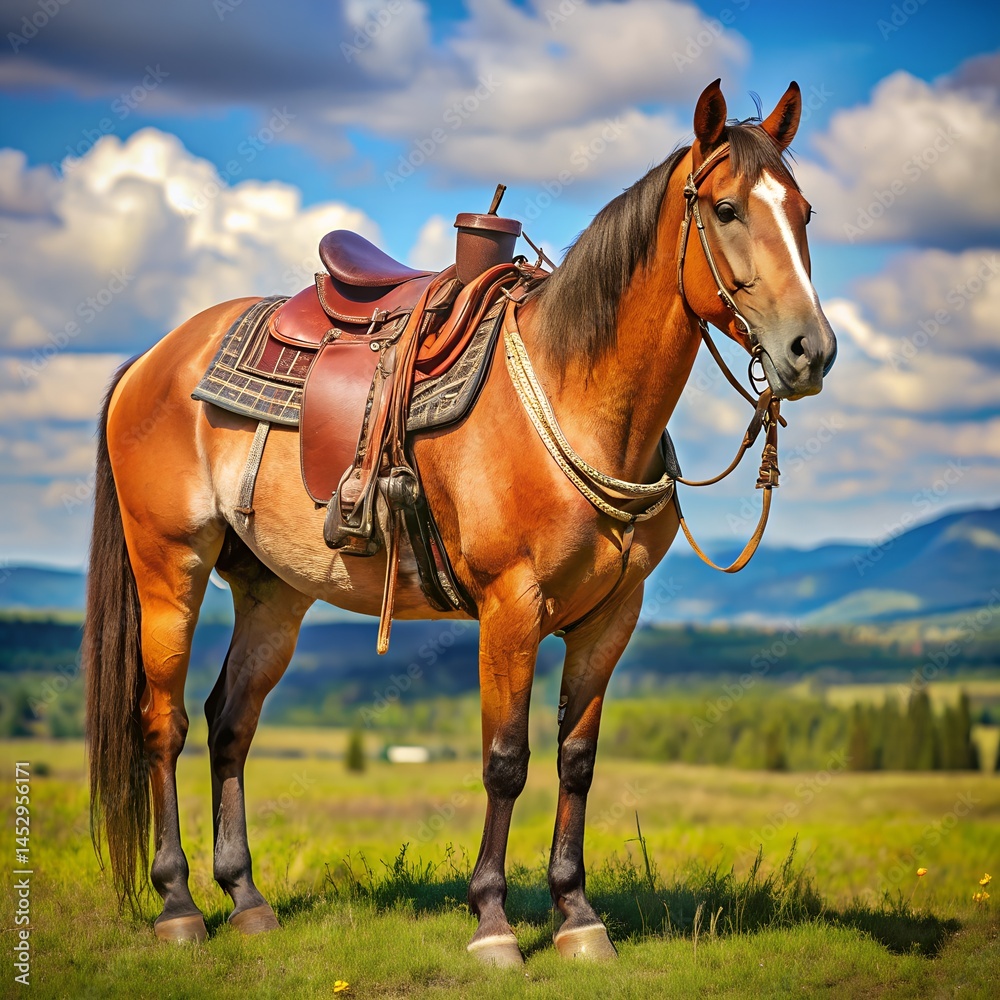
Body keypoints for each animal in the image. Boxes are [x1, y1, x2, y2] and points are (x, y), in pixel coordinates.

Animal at [83, 79, 836, 964]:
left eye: (805, 212)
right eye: (725, 208)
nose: (811, 351)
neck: (575, 395)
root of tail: (153, 358)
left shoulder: (610, 616)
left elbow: (576, 761)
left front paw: (577, 916)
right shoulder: (510, 607)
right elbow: (505, 761)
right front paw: (494, 923)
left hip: (272, 591)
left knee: (229, 722)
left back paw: (246, 898)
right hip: (170, 565)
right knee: (161, 723)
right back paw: (177, 905)